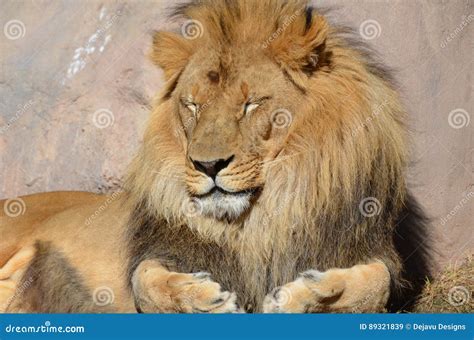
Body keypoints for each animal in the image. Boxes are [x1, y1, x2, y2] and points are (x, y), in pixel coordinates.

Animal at [0, 0, 430, 314]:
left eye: (251, 104)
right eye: (193, 106)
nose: (208, 165)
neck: (260, 221)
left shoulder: (370, 249)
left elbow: (375, 283)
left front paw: (303, 296)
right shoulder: (160, 252)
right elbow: (145, 281)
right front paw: (204, 299)